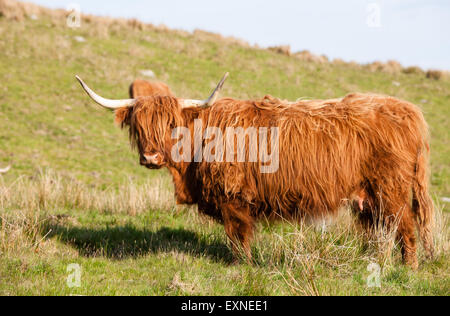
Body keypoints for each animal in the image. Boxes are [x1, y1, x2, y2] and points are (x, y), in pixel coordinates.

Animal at [76, 77, 432, 270]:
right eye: (138, 125)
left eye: (170, 124)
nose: (150, 156)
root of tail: (409, 110)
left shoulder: (233, 199)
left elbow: (239, 236)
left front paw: (241, 266)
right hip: (368, 197)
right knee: (381, 232)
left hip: (392, 190)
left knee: (406, 229)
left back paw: (407, 271)